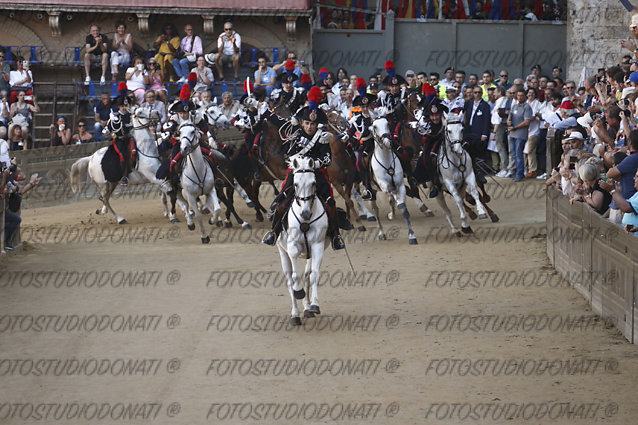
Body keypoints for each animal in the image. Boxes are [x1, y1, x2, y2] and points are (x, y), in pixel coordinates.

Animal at [278, 155, 330, 324]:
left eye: (313, 183)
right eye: (295, 184)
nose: (306, 214)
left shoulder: (317, 246)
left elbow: (314, 275)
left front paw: (314, 305)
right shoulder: (292, 247)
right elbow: (295, 277)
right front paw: (299, 292)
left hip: (310, 254)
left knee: (307, 275)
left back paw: (307, 308)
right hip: (282, 252)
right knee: (290, 280)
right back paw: (295, 314)